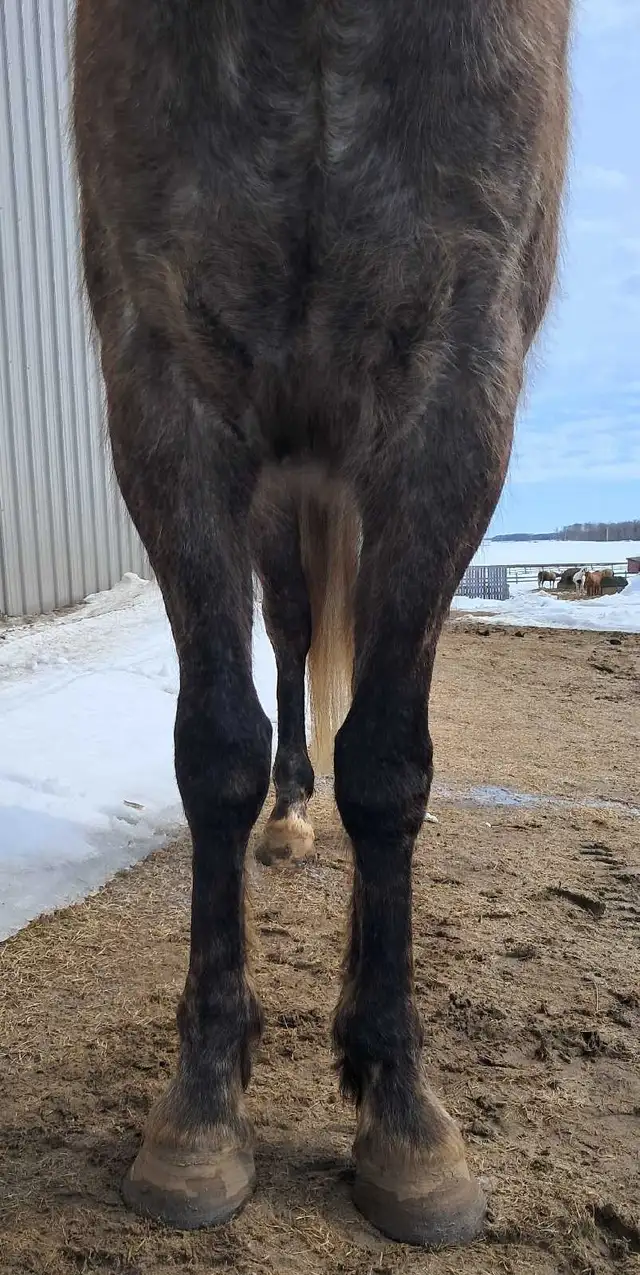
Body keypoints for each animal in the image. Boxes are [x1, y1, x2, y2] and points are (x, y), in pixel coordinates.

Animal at [73, 0, 571, 1248]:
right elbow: (217, 747)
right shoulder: (165, 380)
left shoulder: (456, 392)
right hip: (282, 487)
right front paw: (202, 1110)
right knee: (295, 640)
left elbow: (390, 765)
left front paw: (403, 1119)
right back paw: (292, 816)